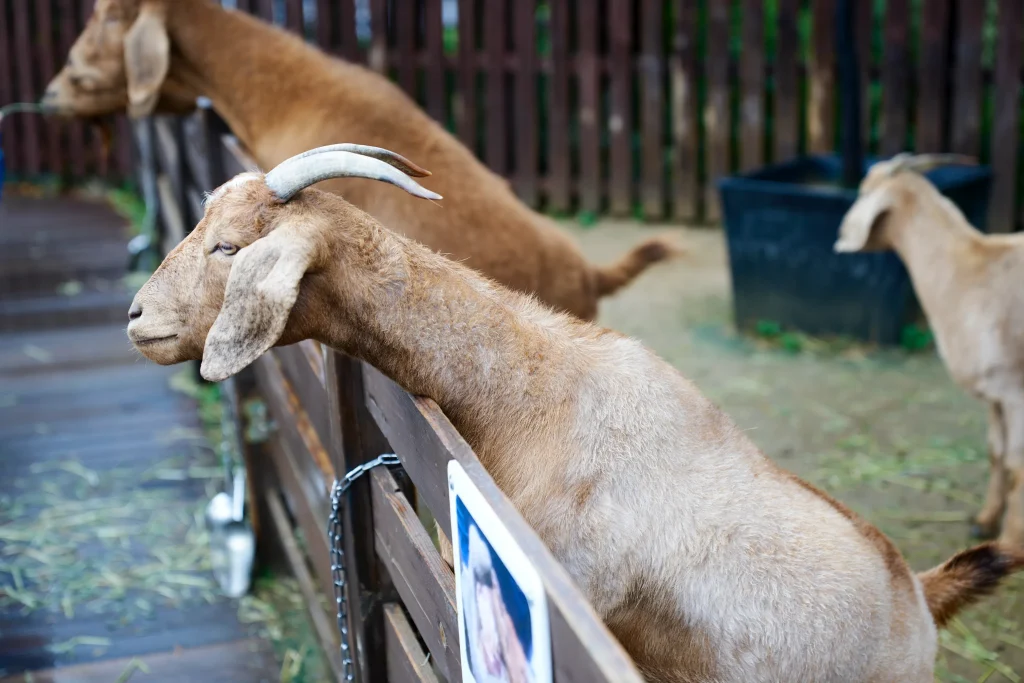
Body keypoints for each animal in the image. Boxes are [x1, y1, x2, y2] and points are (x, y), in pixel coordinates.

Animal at [835, 153, 1024, 548]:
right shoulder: (994, 394)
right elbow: (995, 453)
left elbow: (1016, 465)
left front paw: (1011, 543)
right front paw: (984, 522)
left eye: (863, 190)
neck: (968, 271)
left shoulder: (1015, 392)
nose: (841, 232)